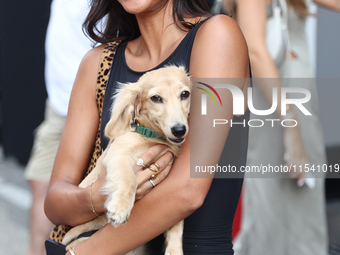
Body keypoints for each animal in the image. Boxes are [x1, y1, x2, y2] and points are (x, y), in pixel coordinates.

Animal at [63, 66, 191, 255]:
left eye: (184, 94)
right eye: (155, 98)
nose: (179, 130)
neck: (151, 137)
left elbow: (176, 222)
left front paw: (175, 249)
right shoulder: (118, 154)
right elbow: (130, 179)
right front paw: (122, 208)